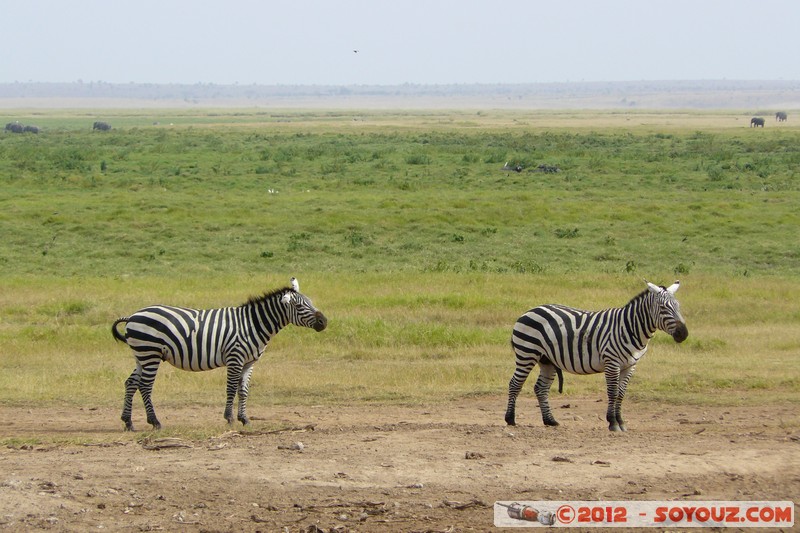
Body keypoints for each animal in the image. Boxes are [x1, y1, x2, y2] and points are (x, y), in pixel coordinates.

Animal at [111, 276, 326, 430]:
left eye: (310, 302)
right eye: (299, 306)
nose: (324, 322)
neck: (252, 324)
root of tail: (133, 316)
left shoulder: (249, 362)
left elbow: (243, 390)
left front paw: (244, 419)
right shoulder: (235, 357)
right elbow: (231, 388)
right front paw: (229, 418)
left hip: (141, 356)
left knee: (131, 383)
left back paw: (128, 422)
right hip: (150, 354)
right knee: (145, 386)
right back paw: (155, 422)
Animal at [506, 280, 688, 430]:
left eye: (678, 306)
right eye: (663, 308)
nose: (683, 334)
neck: (630, 327)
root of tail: (530, 310)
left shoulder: (630, 365)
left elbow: (621, 393)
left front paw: (621, 421)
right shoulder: (612, 362)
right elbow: (613, 392)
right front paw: (613, 422)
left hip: (547, 360)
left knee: (541, 388)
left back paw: (550, 420)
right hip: (527, 353)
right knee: (515, 383)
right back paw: (510, 419)